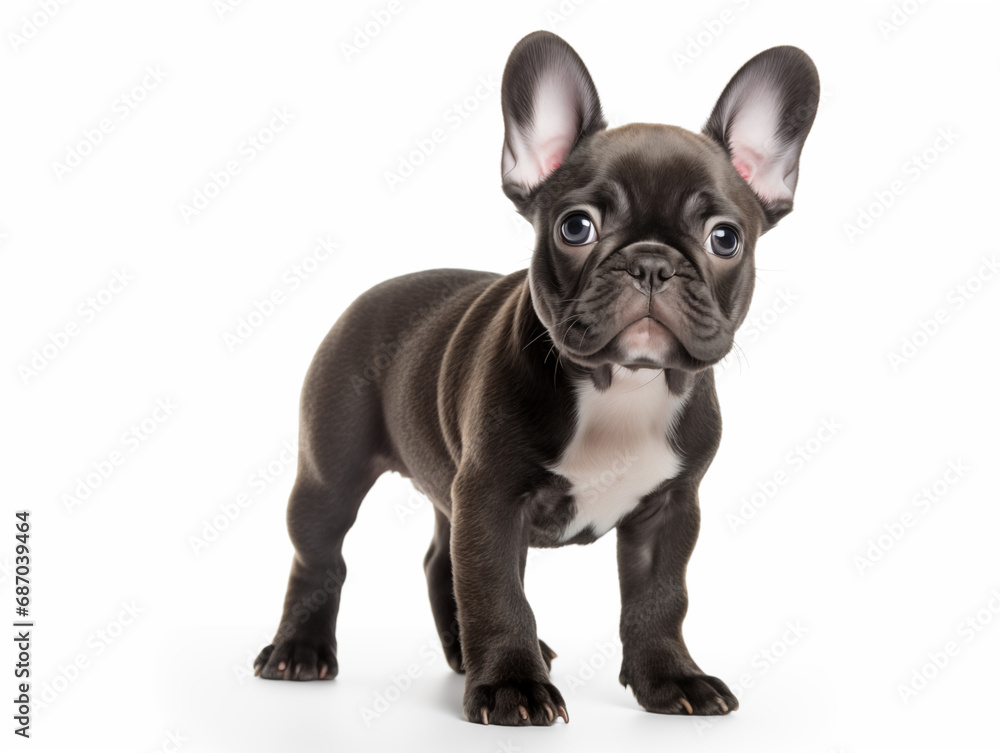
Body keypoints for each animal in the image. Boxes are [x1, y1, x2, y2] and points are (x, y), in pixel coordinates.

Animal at [254, 30, 816, 728]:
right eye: (577, 226)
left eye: (725, 238)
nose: (651, 264)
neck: (620, 386)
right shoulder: (492, 500)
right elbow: (497, 591)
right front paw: (512, 687)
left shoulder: (669, 509)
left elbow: (661, 599)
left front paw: (671, 679)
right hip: (331, 470)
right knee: (320, 555)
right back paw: (301, 650)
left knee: (439, 560)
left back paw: (460, 652)